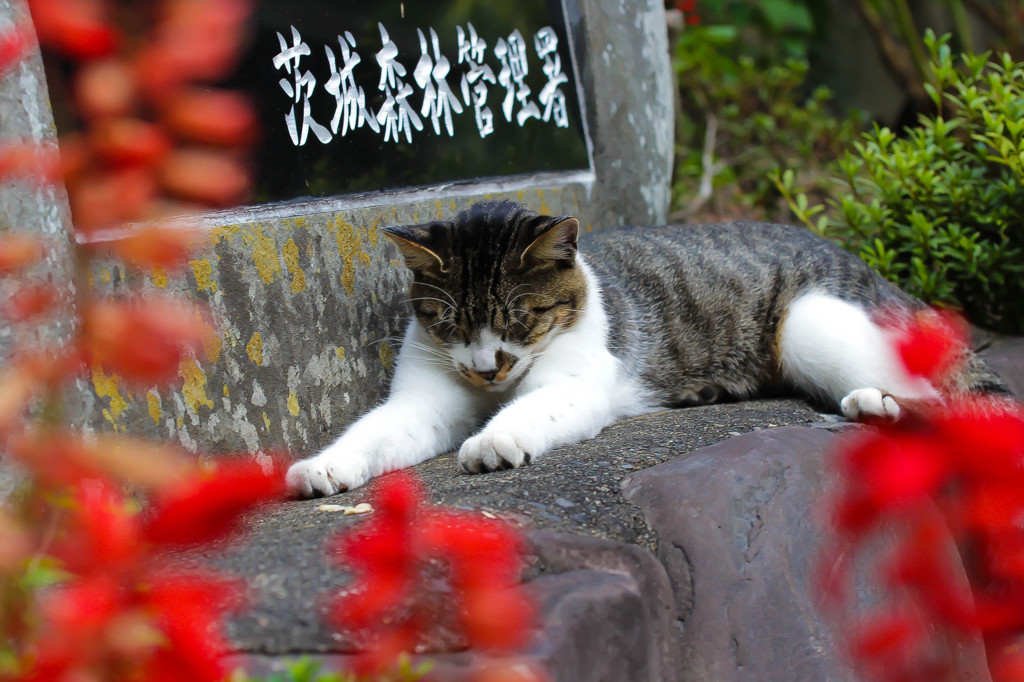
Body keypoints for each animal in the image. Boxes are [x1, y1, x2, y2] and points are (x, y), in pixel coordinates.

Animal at [284, 199, 1003, 497]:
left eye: (523, 319)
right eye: (450, 323)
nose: (488, 370)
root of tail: (871, 270)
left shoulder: (577, 383)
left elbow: (530, 410)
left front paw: (493, 441)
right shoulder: (425, 397)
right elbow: (376, 431)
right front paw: (325, 467)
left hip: (809, 320)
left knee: (956, 399)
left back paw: (879, 405)